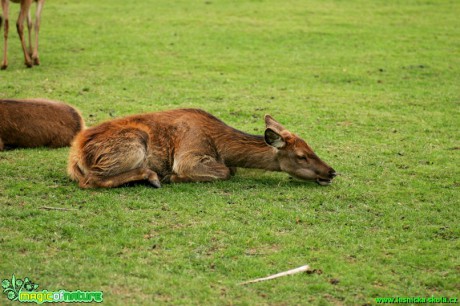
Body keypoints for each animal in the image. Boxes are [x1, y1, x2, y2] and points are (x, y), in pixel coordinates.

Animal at [67, 108, 334, 189]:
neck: (222, 148)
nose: (331, 172)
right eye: (301, 156)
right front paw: (173, 176)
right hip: (132, 144)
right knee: (91, 180)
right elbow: (225, 172)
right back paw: (152, 176)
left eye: (312, 148)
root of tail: (75, 157)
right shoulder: (188, 155)